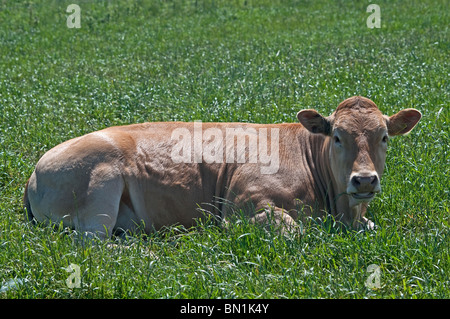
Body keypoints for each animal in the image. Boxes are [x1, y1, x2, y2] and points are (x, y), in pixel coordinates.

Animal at [23, 97, 422, 238]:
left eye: (384, 136)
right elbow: (297, 232)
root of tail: (34, 171)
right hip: (100, 187)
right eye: (337, 136)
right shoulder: (244, 206)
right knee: (91, 244)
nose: (364, 180)